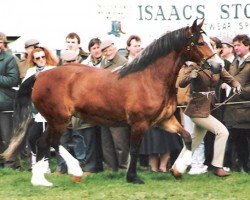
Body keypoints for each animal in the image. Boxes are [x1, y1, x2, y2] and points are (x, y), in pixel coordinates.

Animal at [1, 19, 225, 187]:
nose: (218, 66)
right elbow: (134, 149)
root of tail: (40, 75)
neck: (150, 78)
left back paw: (40, 181)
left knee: (42, 143)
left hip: (55, 120)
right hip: (59, 119)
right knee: (52, 143)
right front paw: (133, 178)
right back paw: (74, 171)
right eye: (199, 42)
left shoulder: (165, 121)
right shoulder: (139, 124)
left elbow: (187, 138)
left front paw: (178, 170)